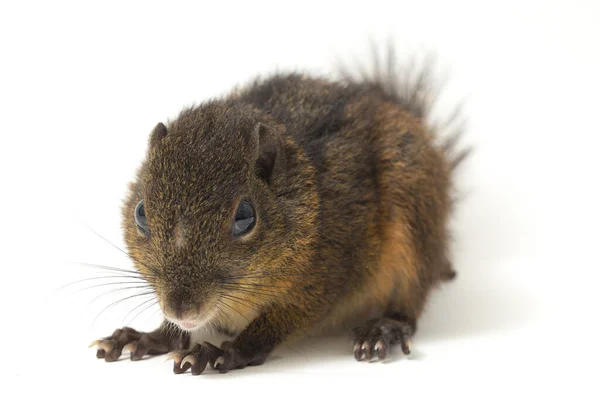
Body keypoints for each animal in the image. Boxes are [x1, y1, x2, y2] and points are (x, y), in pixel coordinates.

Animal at [90, 54, 468, 376]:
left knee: (411, 296)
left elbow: (282, 321)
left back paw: (384, 329)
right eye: (140, 213)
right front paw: (150, 337)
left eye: (245, 217)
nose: (181, 308)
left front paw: (222, 352)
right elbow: (174, 333)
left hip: (413, 203)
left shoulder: (331, 271)